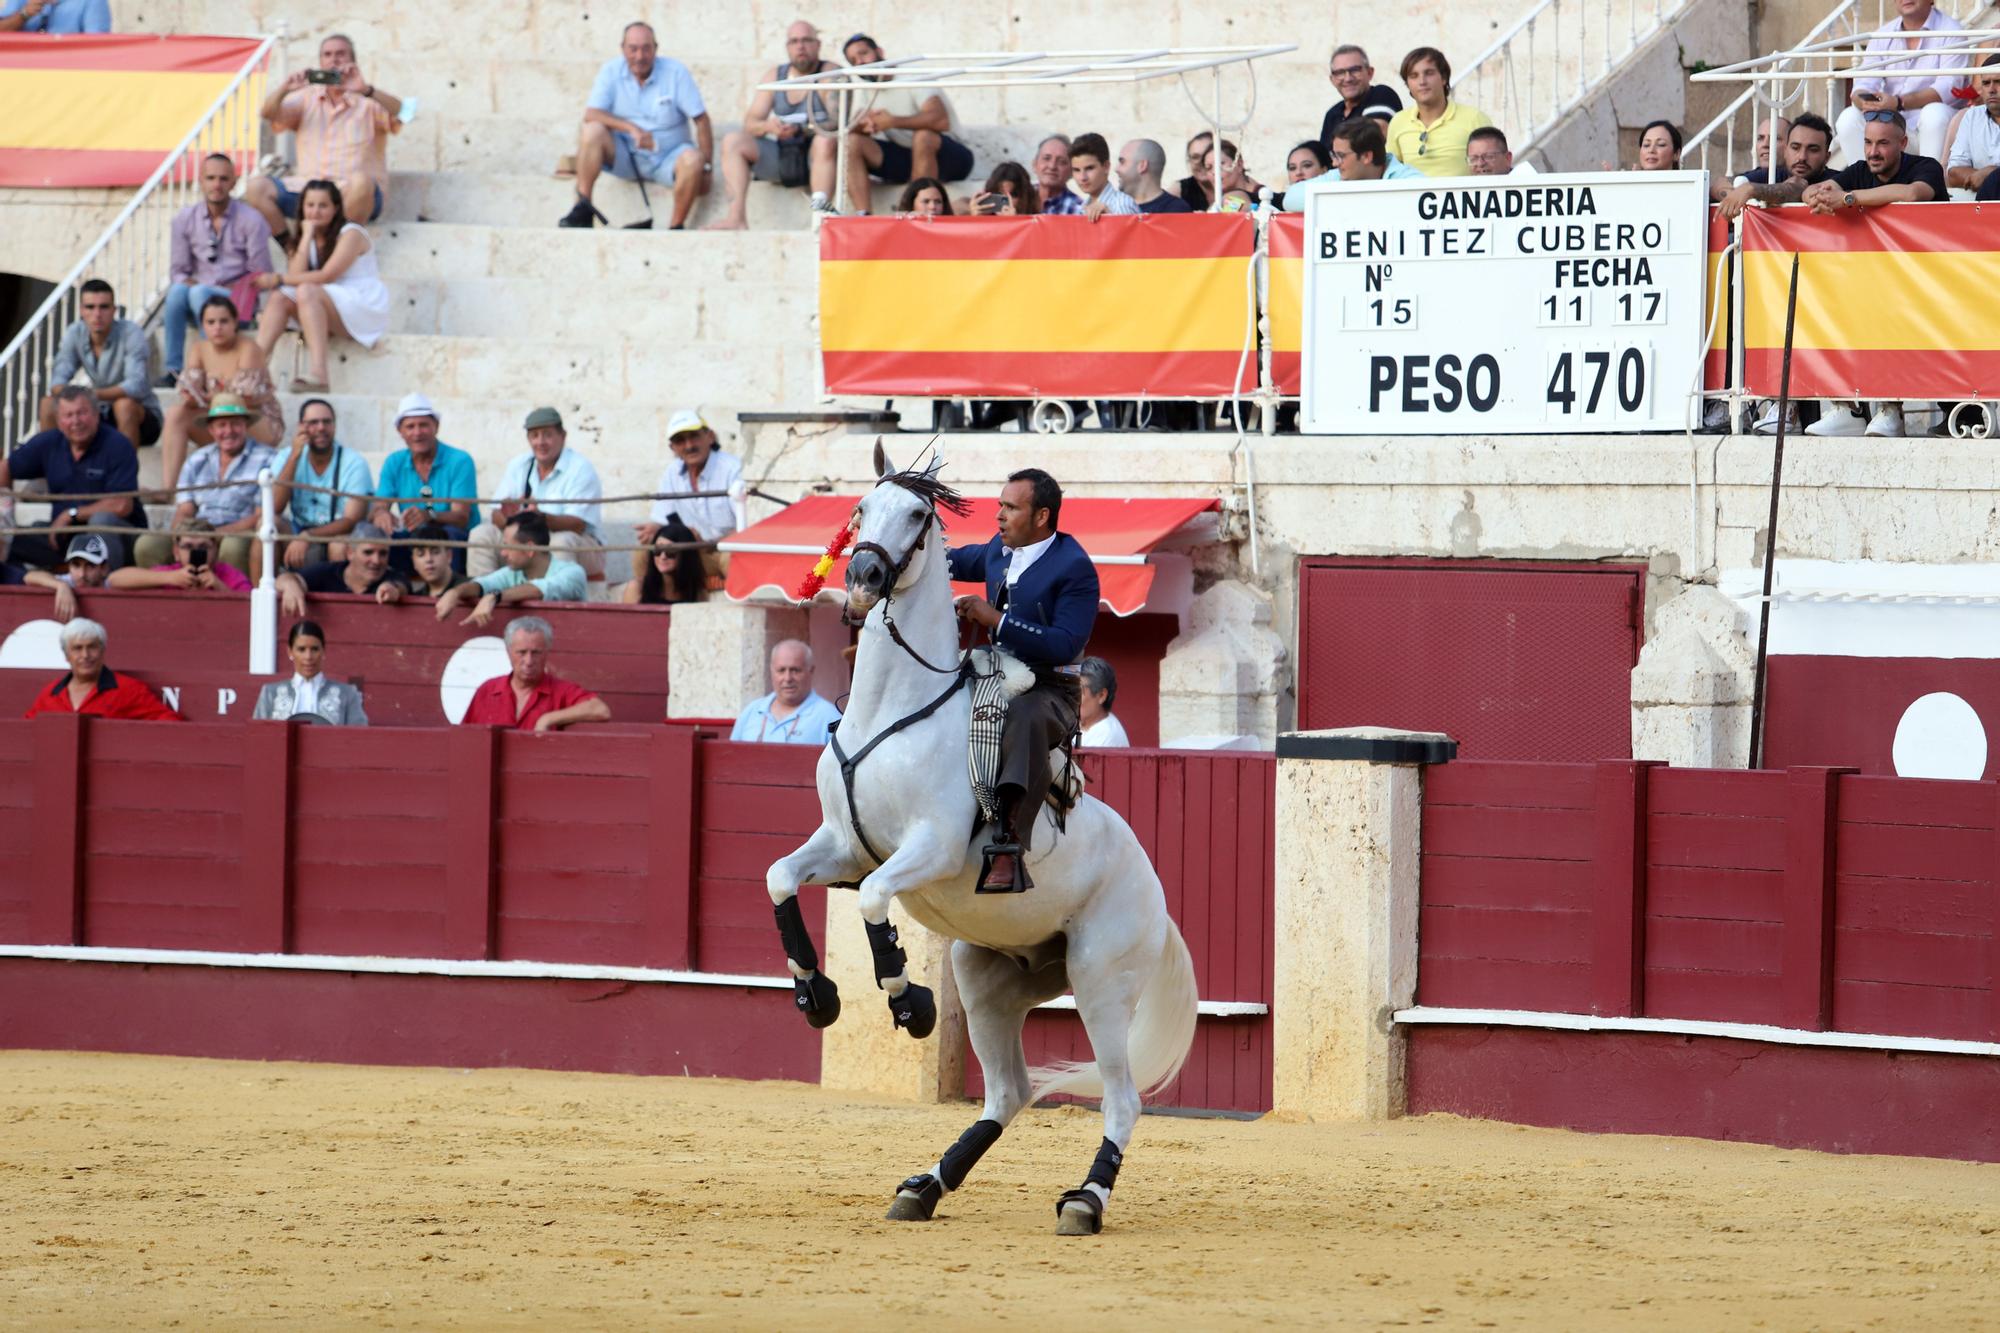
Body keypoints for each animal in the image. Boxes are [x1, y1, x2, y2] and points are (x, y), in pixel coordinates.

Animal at [764, 448, 1192, 1232]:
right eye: (860, 510)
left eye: (918, 514)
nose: (861, 578)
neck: (892, 709)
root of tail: (1157, 897)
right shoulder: (841, 843)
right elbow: (780, 876)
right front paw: (817, 995)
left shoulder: (924, 850)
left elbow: (872, 900)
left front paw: (909, 1003)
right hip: (989, 973)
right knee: (1007, 1090)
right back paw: (925, 1185)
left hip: (1101, 978)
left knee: (1122, 1097)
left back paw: (1084, 1200)